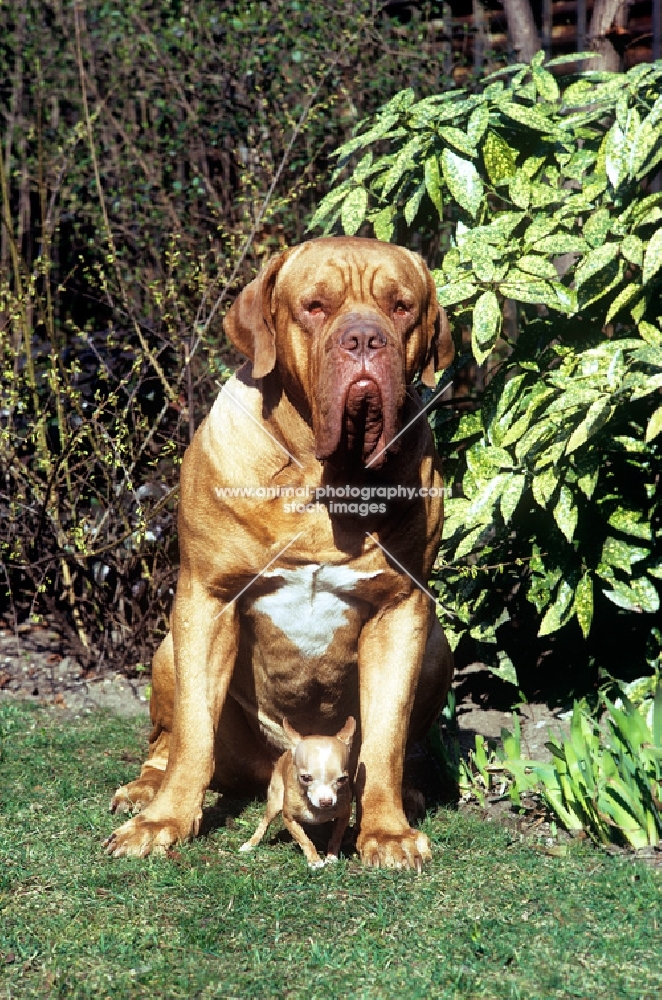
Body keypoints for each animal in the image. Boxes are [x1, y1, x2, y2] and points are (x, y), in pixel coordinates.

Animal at [107, 234, 456, 868]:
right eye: (315, 306)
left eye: (401, 308)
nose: (364, 339)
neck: (324, 480)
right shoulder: (207, 600)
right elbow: (193, 732)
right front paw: (164, 823)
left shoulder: (400, 611)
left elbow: (387, 735)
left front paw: (387, 831)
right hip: (169, 650)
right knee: (169, 740)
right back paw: (146, 789)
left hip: (437, 648)